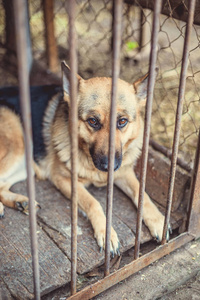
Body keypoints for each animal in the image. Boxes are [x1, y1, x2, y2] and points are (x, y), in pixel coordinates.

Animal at [0, 61, 170, 255]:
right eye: (93, 121)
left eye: (122, 121)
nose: (108, 167)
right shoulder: (65, 180)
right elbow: (93, 202)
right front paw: (106, 232)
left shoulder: (124, 173)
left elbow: (142, 194)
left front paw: (158, 220)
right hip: (17, 146)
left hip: (23, 164)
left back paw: (21, 202)